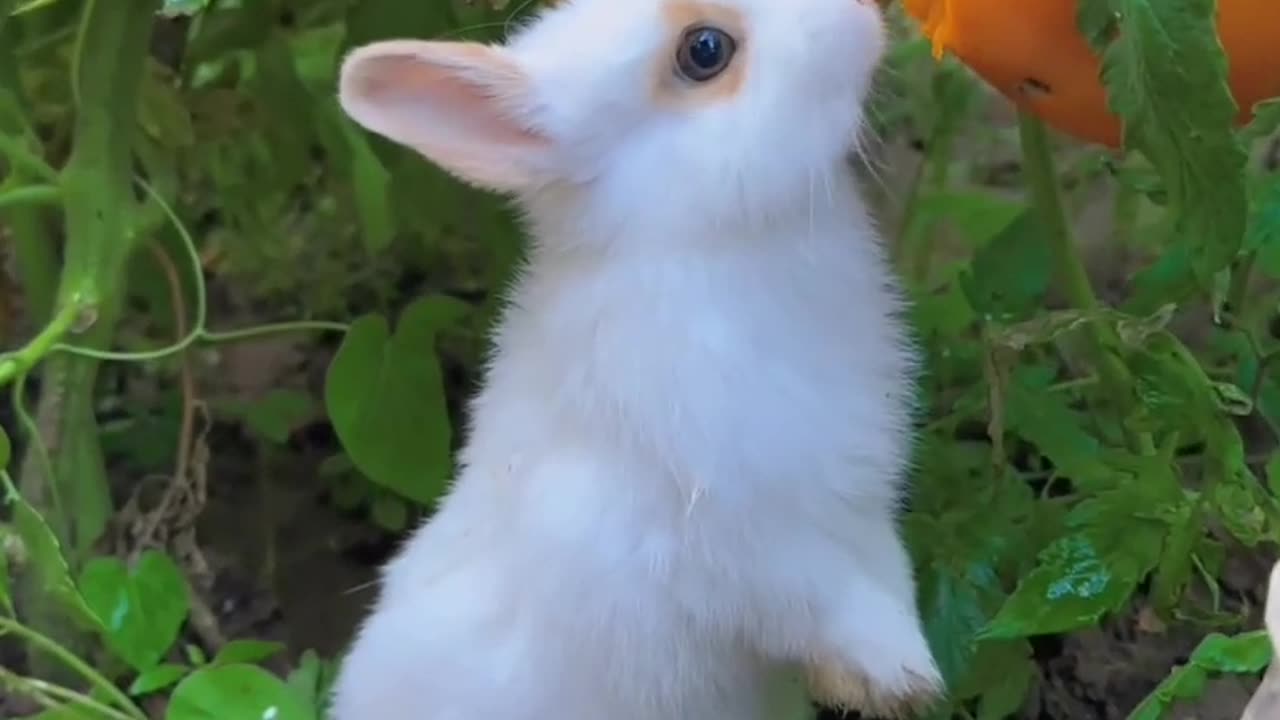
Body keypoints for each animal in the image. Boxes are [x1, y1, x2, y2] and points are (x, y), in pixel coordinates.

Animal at [327, 0, 952, 712]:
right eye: (705, 51)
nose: (867, 12)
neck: (706, 241)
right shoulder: (730, 536)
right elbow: (818, 596)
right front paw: (901, 681)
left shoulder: (858, 501)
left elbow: (885, 574)